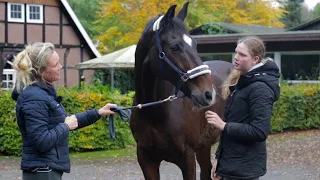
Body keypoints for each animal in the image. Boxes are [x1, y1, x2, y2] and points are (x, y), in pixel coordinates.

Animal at [130, 2, 232, 179]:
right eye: (175, 47)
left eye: (195, 45)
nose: (209, 94)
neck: (154, 113)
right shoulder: (146, 160)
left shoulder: (187, 158)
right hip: (204, 146)